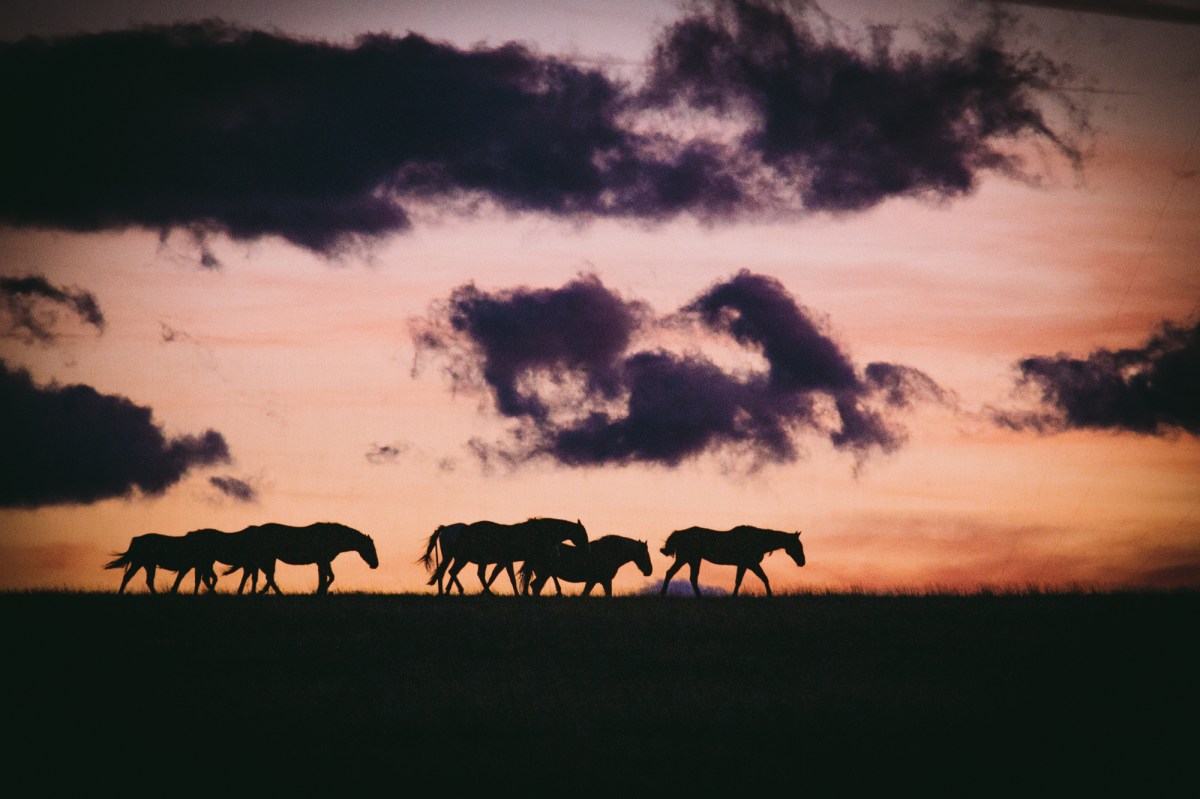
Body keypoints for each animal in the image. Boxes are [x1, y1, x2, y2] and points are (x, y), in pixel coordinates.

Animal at [219, 522, 379, 595]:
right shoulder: (322, 560)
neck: (331, 536)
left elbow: (327, 576)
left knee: (265, 576)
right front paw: (320, 591)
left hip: (268, 559)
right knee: (267, 576)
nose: (375, 564)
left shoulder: (322, 561)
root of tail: (257, 529)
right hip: (268, 559)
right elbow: (328, 577)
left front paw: (321, 592)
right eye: (371, 549)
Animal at [422, 517, 589, 595]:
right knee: (450, 572)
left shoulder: (509, 561)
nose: (587, 550)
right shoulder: (521, 560)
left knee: (449, 572)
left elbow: (510, 578)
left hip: (464, 559)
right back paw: (452, 591)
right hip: (461, 558)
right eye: (582, 534)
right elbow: (519, 578)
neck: (538, 533)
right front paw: (524, 593)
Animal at [522, 534, 653, 597]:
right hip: (544, 574)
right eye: (645, 555)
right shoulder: (600, 580)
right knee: (535, 587)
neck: (607, 553)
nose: (649, 571)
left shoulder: (597, 581)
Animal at [659, 525, 804, 597]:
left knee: (682, 576)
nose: (802, 562)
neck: (758, 540)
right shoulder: (749, 564)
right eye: (797, 546)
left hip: (691, 560)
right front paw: (769, 595)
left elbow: (744, 580)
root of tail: (679, 533)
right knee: (677, 574)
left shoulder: (745, 564)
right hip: (688, 559)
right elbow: (760, 578)